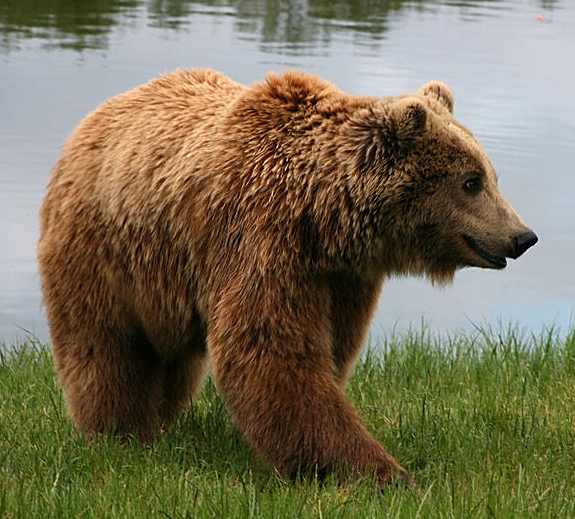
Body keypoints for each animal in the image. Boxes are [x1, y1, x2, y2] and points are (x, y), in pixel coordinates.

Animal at [38, 69, 536, 488]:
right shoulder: (261, 239)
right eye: (471, 181)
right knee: (106, 345)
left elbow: (330, 349)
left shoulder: (341, 279)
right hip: (104, 250)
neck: (322, 217)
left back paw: (160, 418)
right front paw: (381, 472)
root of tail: (93, 119)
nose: (522, 236)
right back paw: (119, 432)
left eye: (490, 175)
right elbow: (274, 352)